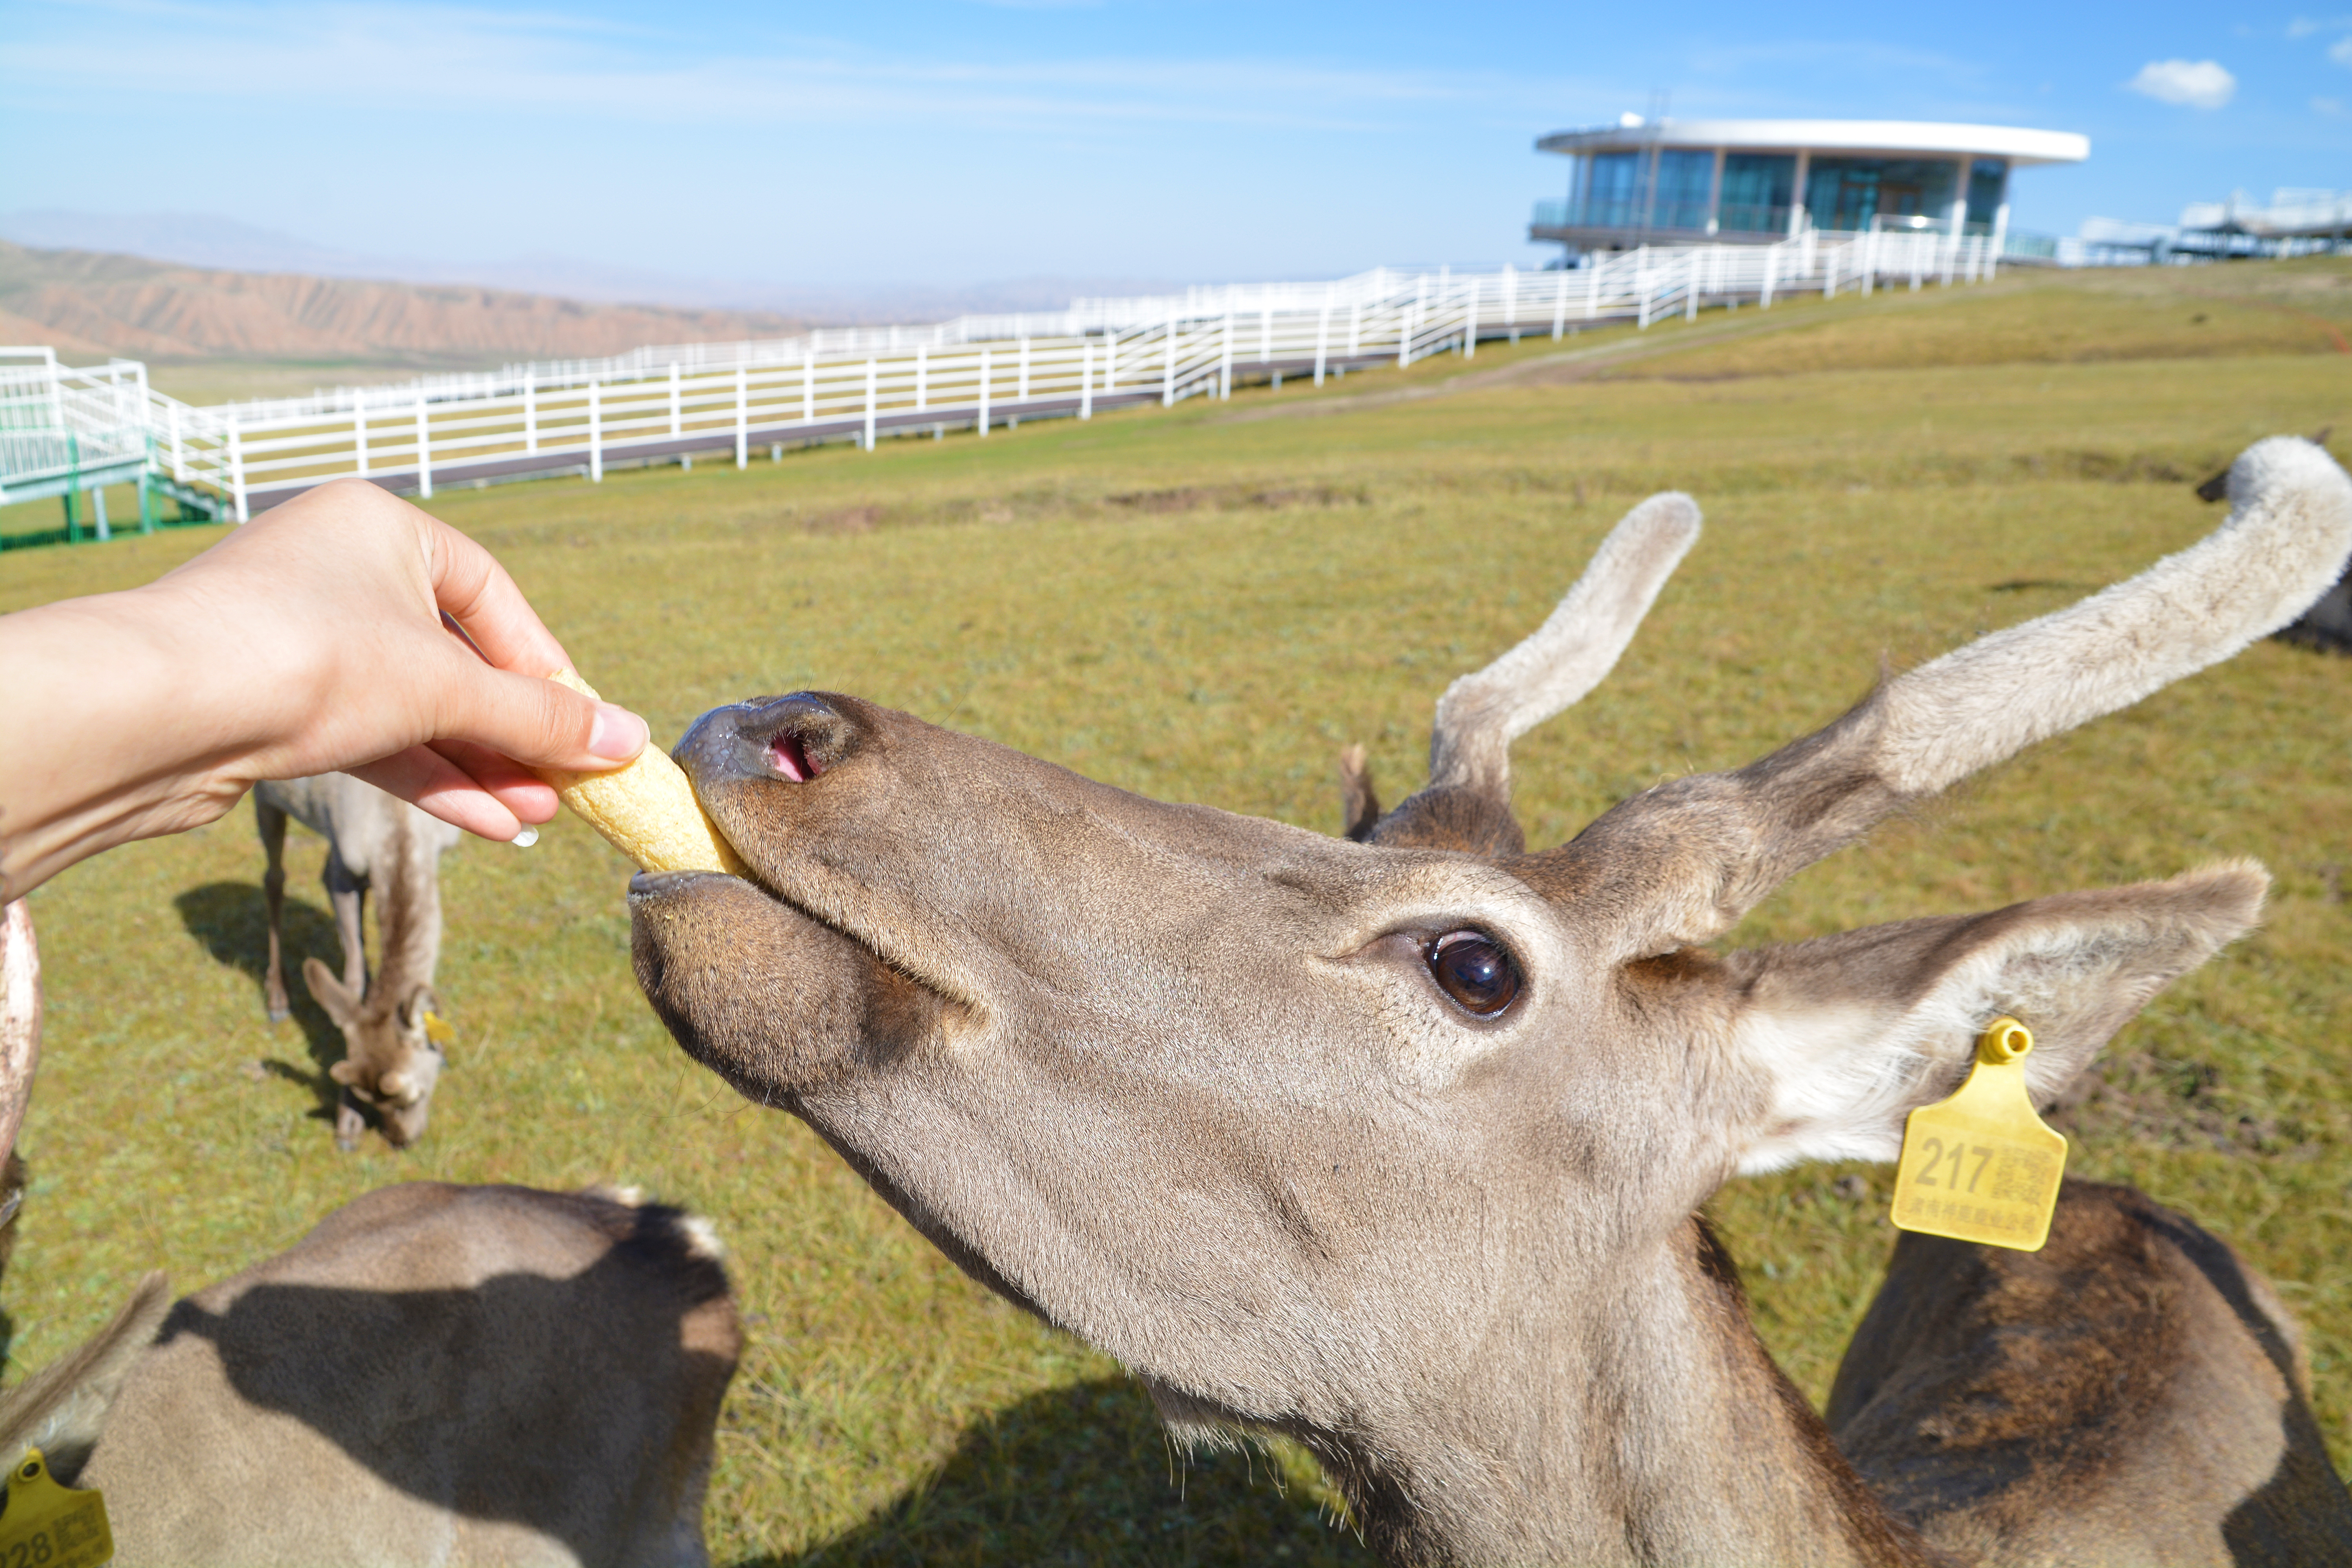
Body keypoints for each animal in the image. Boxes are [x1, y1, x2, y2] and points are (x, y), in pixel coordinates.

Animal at [255, 780, 461, 1147]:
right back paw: (278, 998)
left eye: (415, 1096)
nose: (402, 1141)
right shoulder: (343, 864)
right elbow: (353, 978)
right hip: (264, 799)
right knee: (274, 877)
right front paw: (347, 1123)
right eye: (366, 1097)